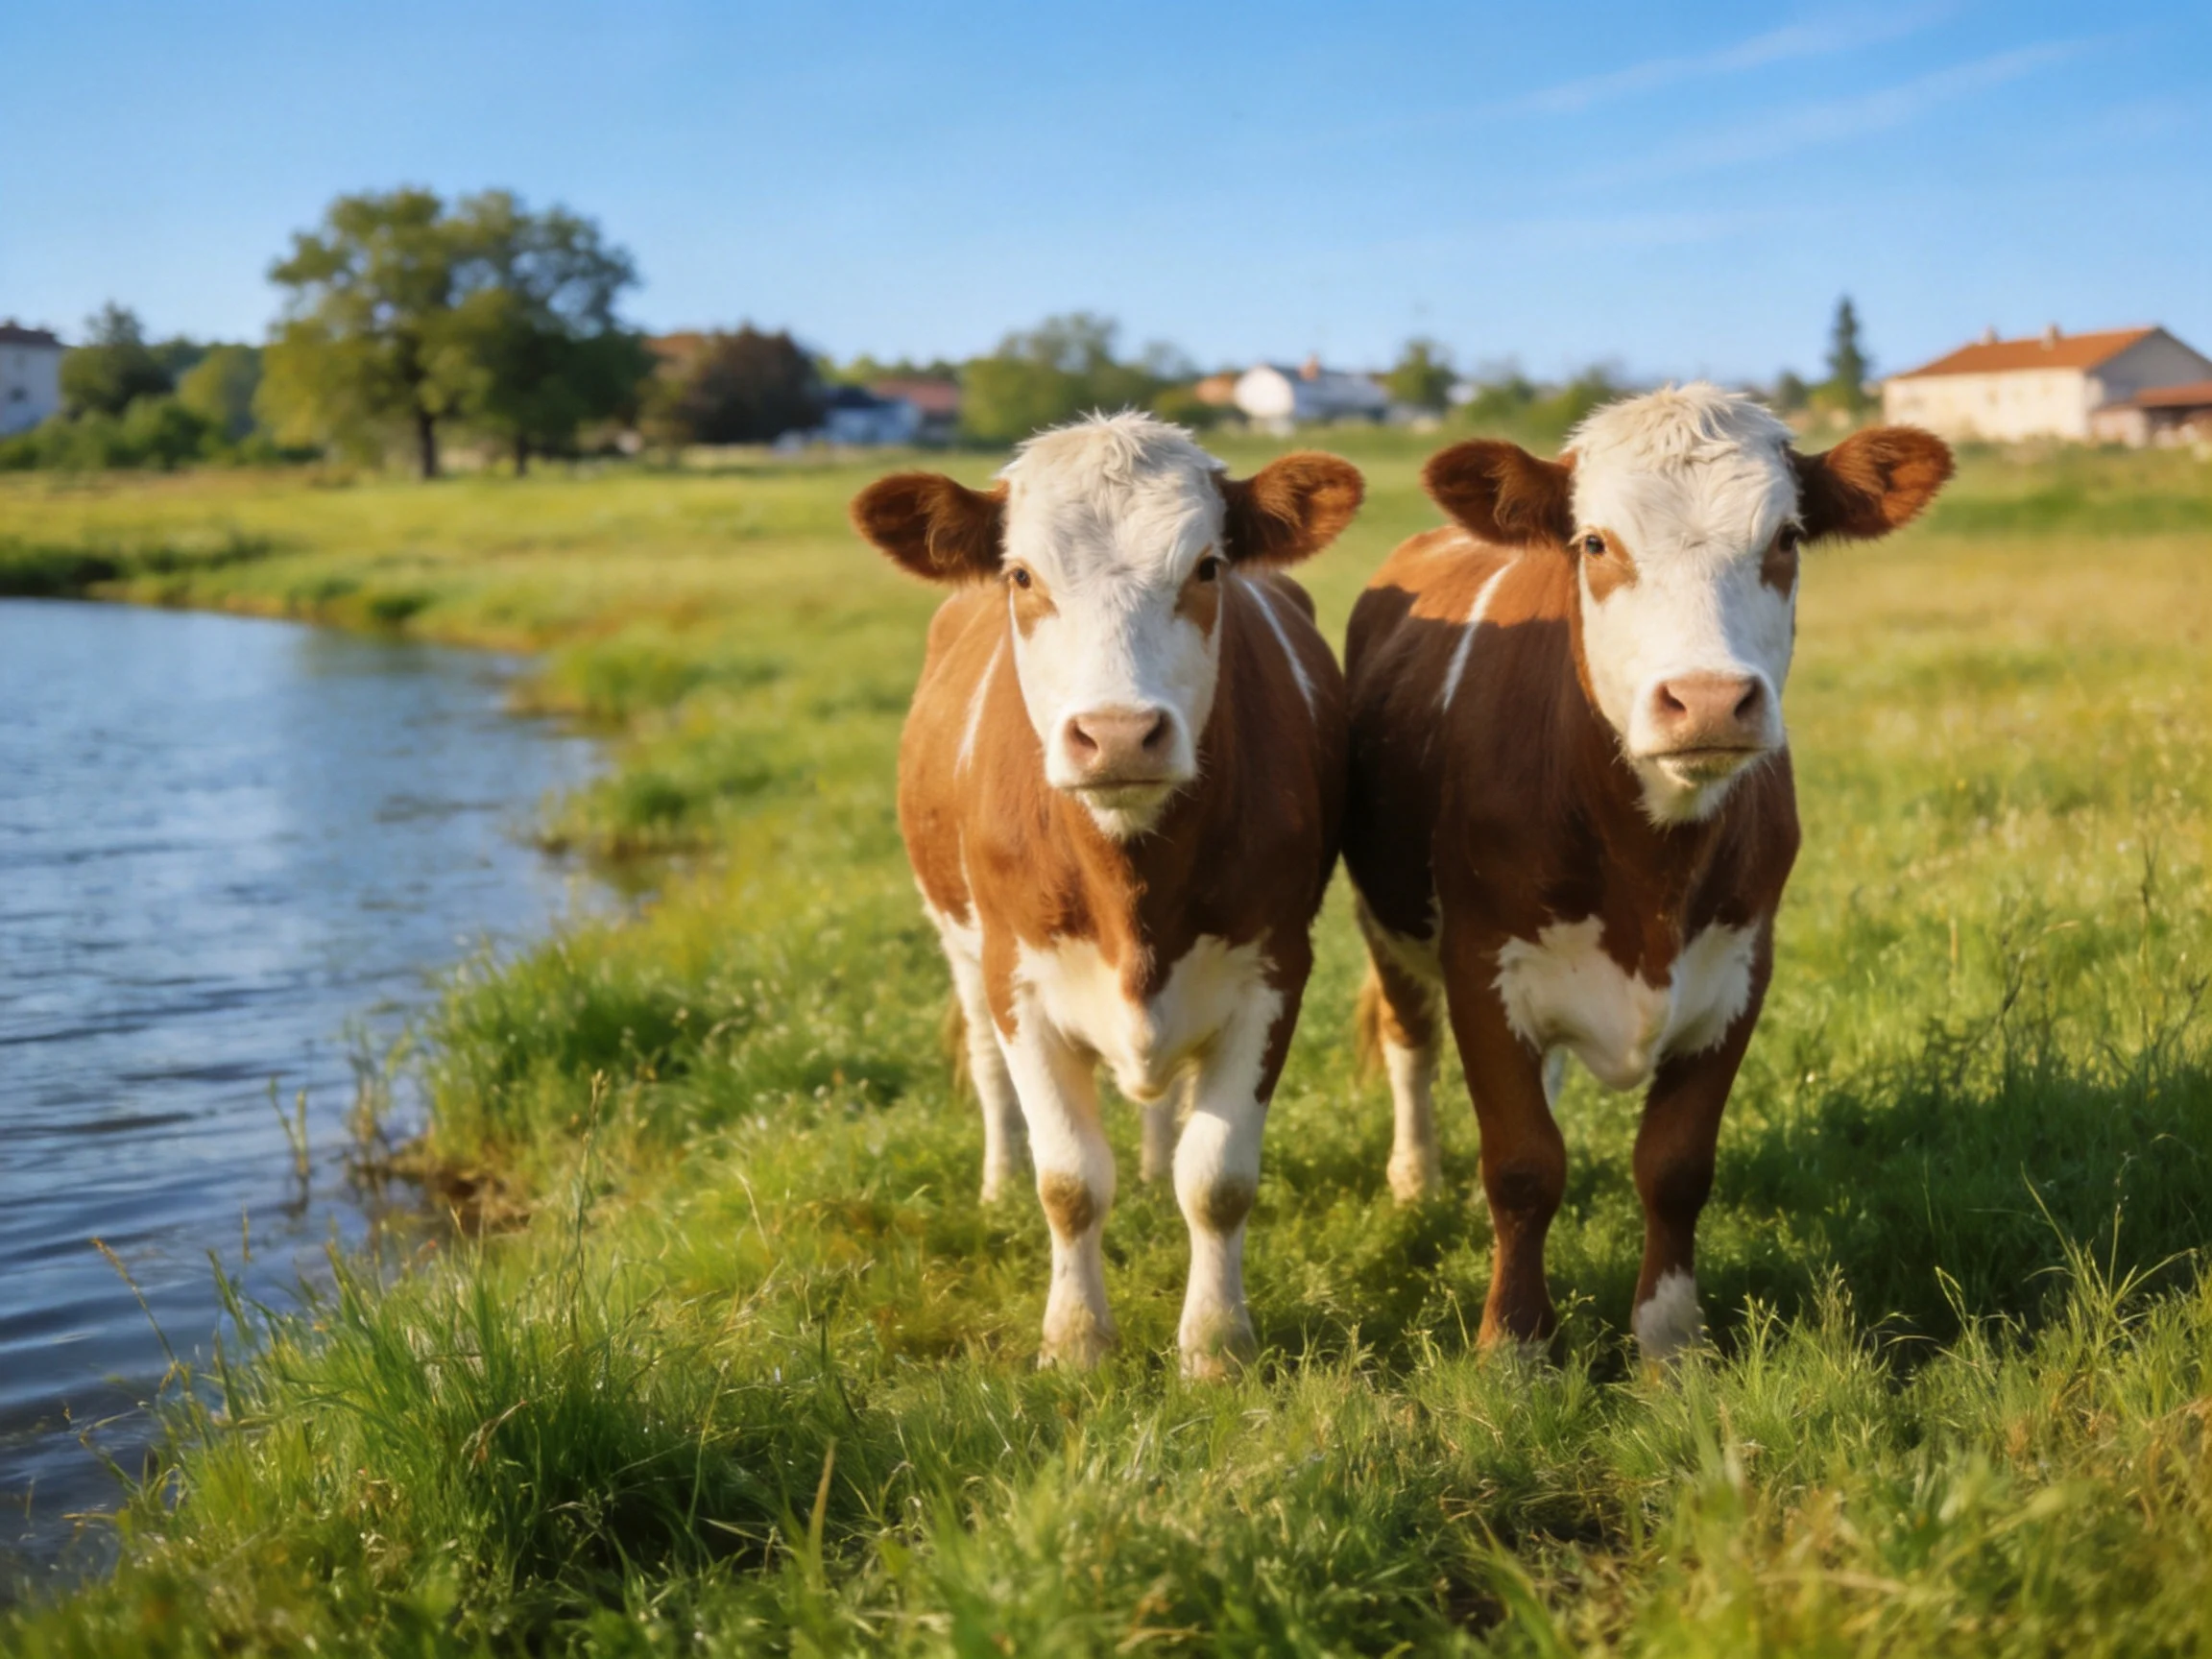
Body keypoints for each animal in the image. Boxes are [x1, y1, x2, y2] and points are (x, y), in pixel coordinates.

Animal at [851, 413, 1362, 1375]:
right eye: (1022, 575)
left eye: (1207, 567)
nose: (1119, 734)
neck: (1133, 889)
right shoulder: (1017, 979)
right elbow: (1070, 1182)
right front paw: (1077, 1340)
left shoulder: (1275, 970)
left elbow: (1219, 1179)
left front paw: (1216, 1344)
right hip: (958, 945)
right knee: (989, 1074)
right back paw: (995, 1184)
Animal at [1344, 383, 1951, 1359]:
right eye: (1596, 543)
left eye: (1786, 538)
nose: (1706, 699)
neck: (1648, 866)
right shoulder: (1480, 965)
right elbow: (1521, 1164)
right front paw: (1515, 1346)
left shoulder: (1739, 970)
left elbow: (1673, 1168)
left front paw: (1672, 1344)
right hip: (1385, 922)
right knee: (1410, 1042)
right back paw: (1415, 1179)